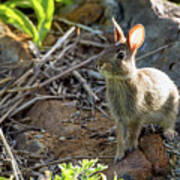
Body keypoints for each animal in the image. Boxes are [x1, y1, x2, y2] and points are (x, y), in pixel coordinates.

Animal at [97, 17, 179, 163]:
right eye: (106, 49)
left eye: (121, 55)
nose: (100, 64)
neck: (119, 80)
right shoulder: (120, 117)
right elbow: (120, 136)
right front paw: (119, 155)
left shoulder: (137, 115)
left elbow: (133, 132)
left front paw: (130, 147)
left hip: (171, 104)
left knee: (170, 120)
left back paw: (169, 134)